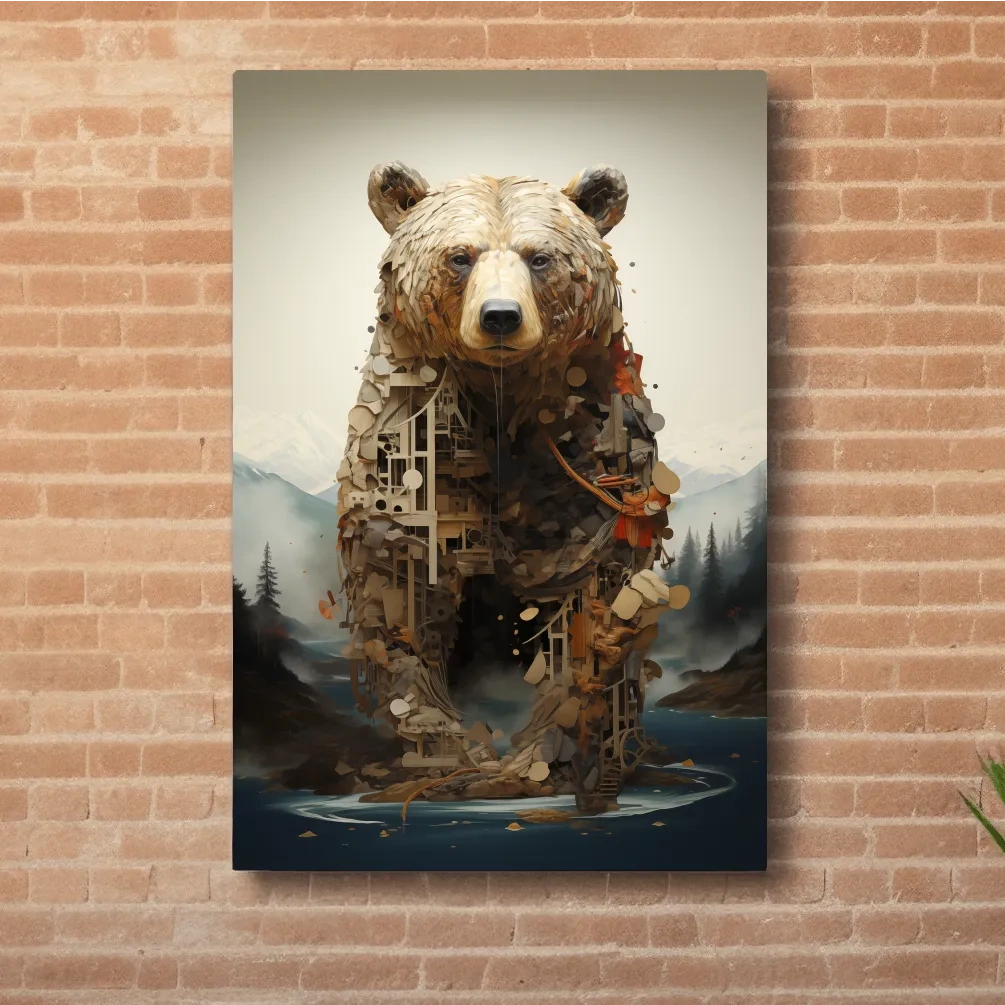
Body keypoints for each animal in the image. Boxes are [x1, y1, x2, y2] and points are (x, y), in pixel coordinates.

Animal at [335, 162, 687, 812]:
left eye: (538, 257)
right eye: (460, 256)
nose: (500, 316)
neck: (500, 399)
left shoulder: (587, 464)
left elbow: (582, 610)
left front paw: (540, 759)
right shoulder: (409, 464)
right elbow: (404, 603)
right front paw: (452, 759)